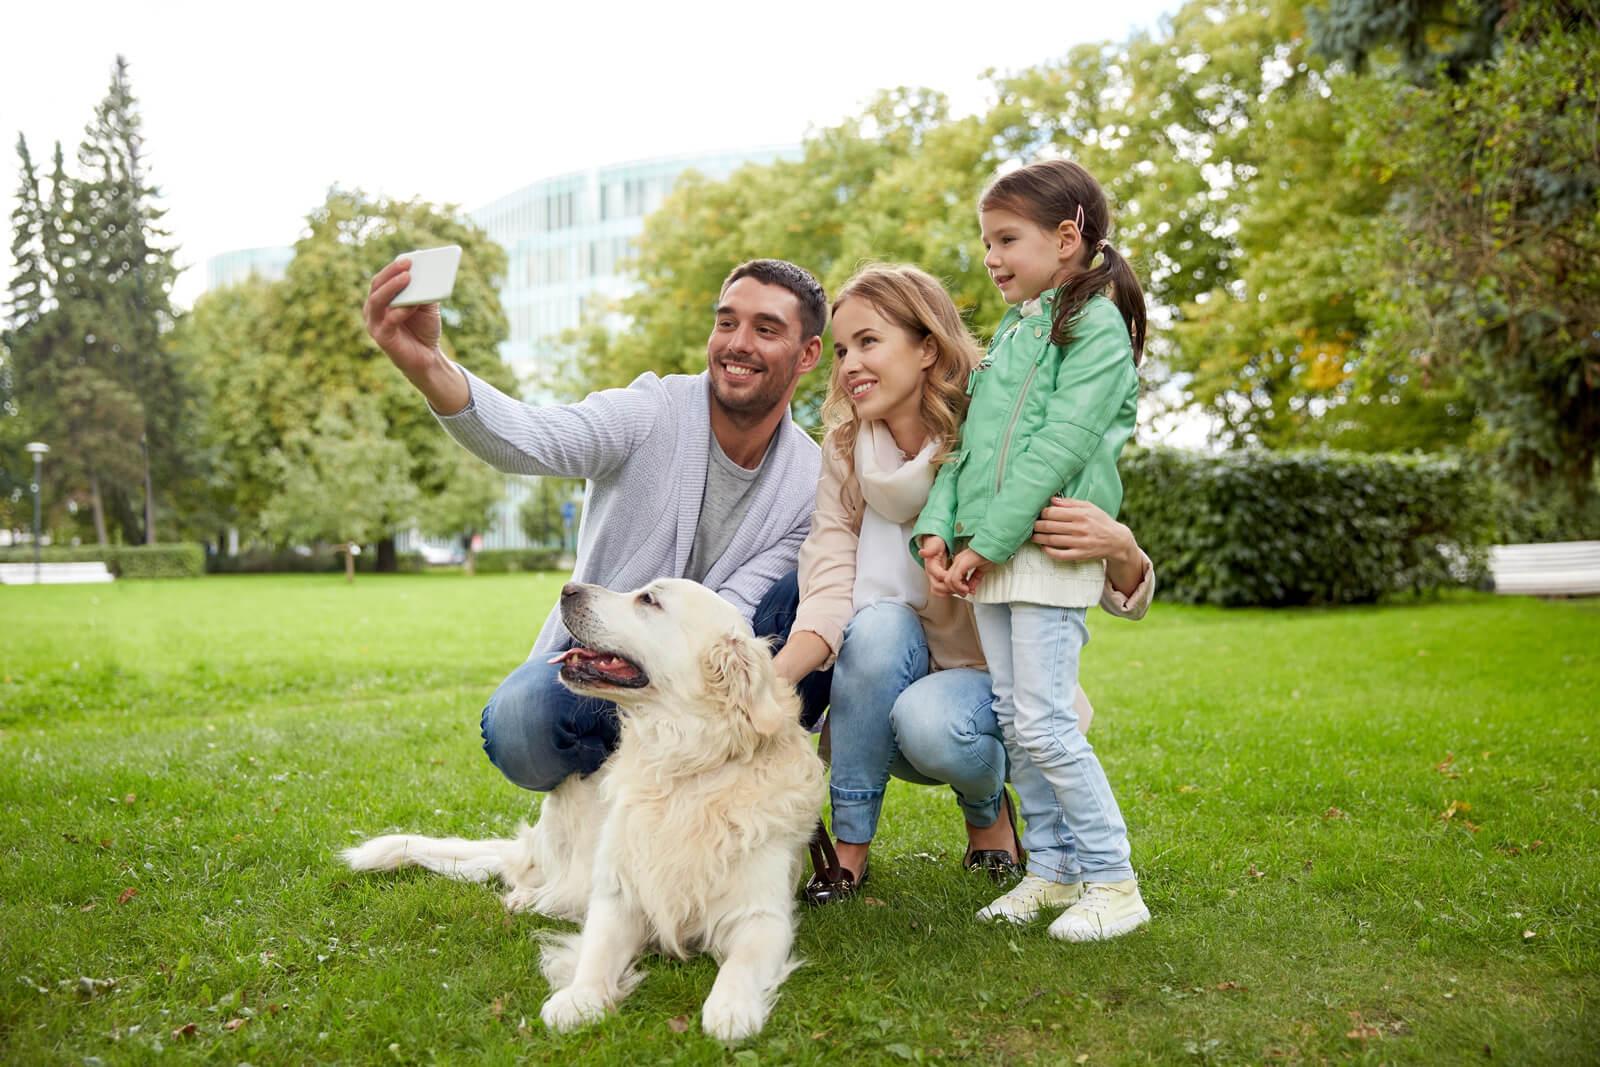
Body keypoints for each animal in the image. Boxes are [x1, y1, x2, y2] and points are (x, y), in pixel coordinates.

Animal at [348, 585, 825, 1043]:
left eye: (649, 599)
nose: (567, 588)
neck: (682, 767)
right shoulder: (619, 892)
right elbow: (597, 952)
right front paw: (579, 998)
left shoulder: (762, 916)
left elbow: (739, 966)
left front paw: (731, 1009)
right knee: (546, 880)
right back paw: (526, 897)